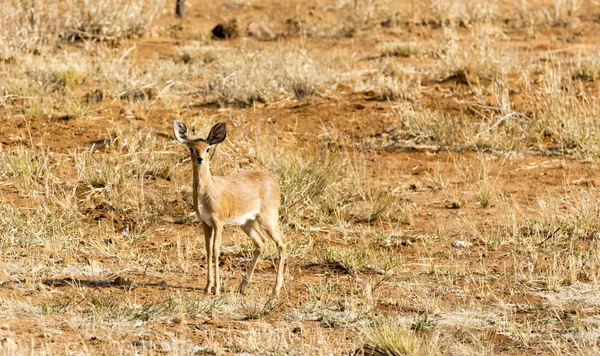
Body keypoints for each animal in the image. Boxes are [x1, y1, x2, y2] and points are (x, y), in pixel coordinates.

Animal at [173, 119, 286, 298]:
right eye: (191, 148)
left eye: (207, 148)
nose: (200, 159)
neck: (208, 190)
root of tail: (273, 181)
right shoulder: (205, 222)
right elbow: (208, 250)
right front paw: (208, 286)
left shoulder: (218, 222)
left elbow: (216, 249)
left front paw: (217, 288)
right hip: (247, 223)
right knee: (261, 242)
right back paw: (242, 286)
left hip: (268, 219)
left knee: (282, 243)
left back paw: (275, 291)